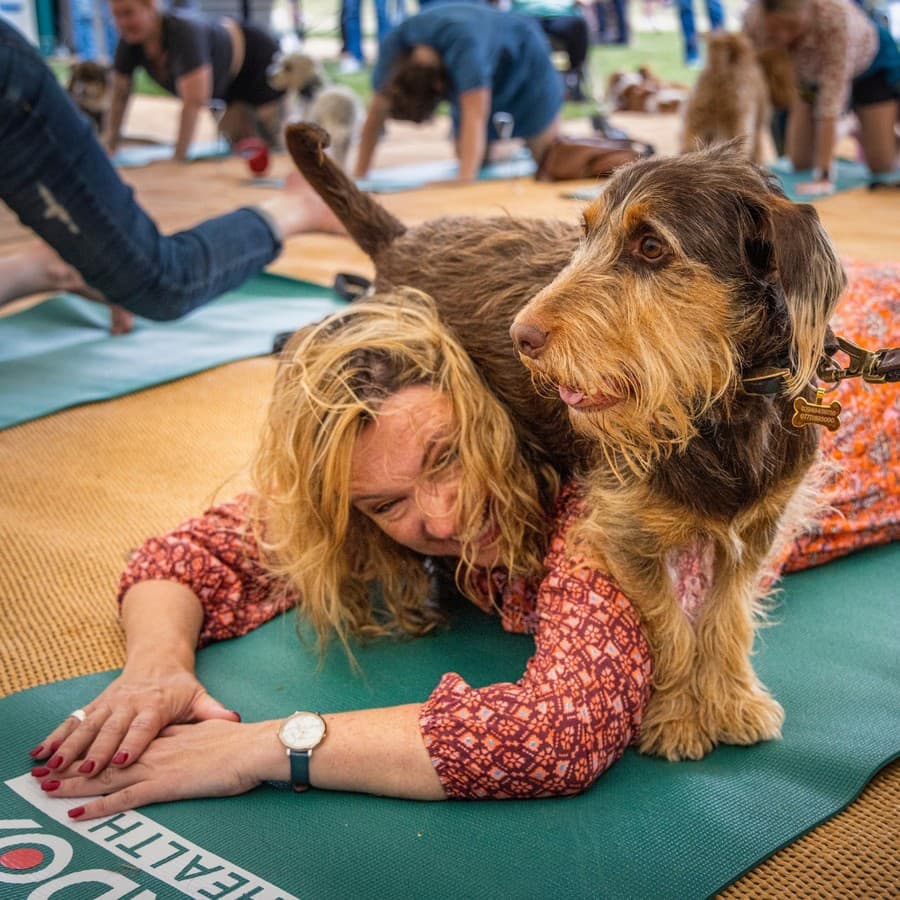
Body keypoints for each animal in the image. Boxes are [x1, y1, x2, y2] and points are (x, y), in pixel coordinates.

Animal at [286, 125, 844, 760]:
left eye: (651, 247)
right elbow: (672, 628)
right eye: (585, 232)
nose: (520, 336)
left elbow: (727, 616)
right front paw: (680, 716)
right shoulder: (624, 536)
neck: (717, 407)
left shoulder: (756, 529)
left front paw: (733, 700)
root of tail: (400, 239)